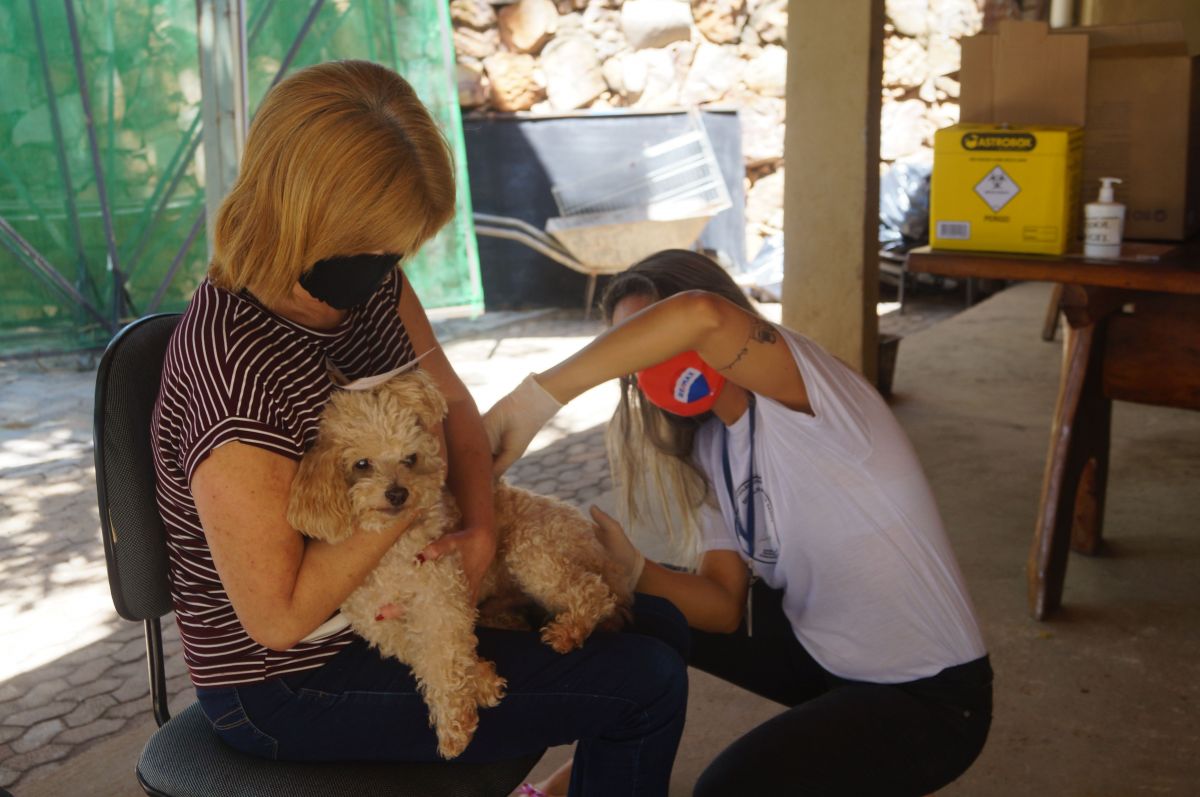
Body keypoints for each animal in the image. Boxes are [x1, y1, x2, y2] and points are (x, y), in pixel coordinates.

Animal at [286, 368, 633, 759]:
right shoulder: (381, 623)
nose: (398, 493)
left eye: (410, 458)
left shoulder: (437, 595)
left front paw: (454, 727)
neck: (389, 559)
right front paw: (481, 680)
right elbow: (429, 657)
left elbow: (443, 655)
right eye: (362, 464)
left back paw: (568, 630)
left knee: (593, 592)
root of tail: (603, 550)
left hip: (530, 549)